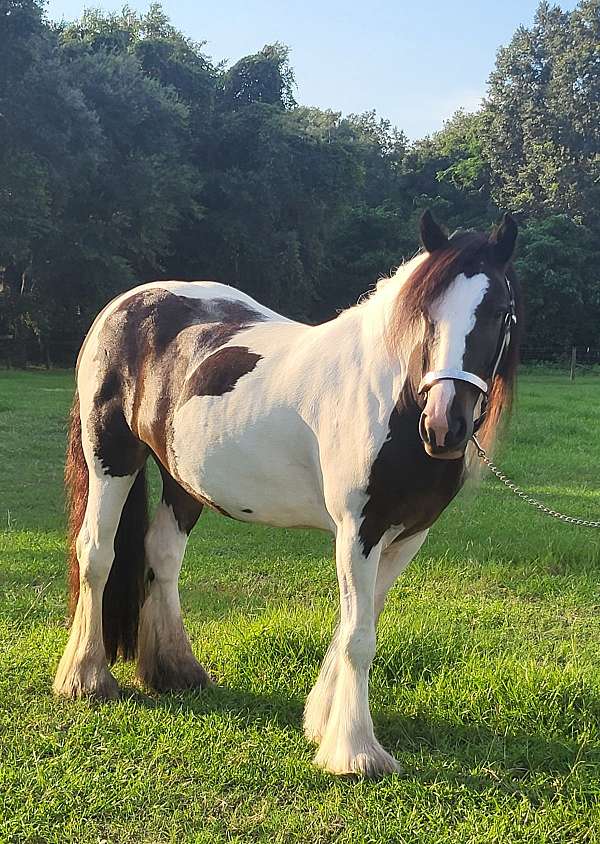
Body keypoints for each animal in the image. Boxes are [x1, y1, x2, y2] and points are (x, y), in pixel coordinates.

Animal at [52, 213, 520, 780]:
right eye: (426, 314)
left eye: (500, 312)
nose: (445, 425)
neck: (393, 400)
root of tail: (122, 305)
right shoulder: (358, 531)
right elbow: (359, 638)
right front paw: (356, 751)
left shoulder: (407, 535)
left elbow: (358, 623)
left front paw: (323, 720)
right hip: (111, 457)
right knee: (97, 554)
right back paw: (86, 677)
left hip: (181, 478)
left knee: (161, 555)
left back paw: (177, 671)